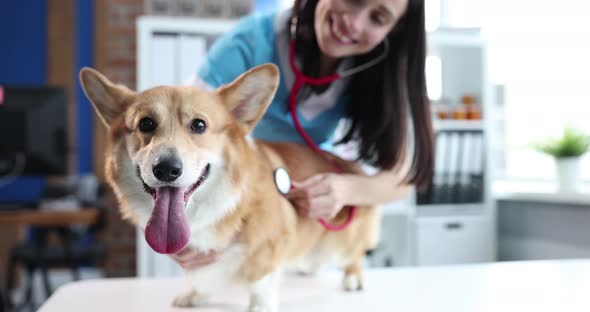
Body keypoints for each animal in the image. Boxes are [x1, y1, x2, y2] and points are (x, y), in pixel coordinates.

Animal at [80, 64, 384, 312]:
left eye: (199, 125)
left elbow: (261, 280)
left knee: (354, 253)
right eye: (146, 123)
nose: (166, 169)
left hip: (340, 243)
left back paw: (353, 277)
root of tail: (348, 165)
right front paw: (195, 294)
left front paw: (260, 306)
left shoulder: (270, 241)